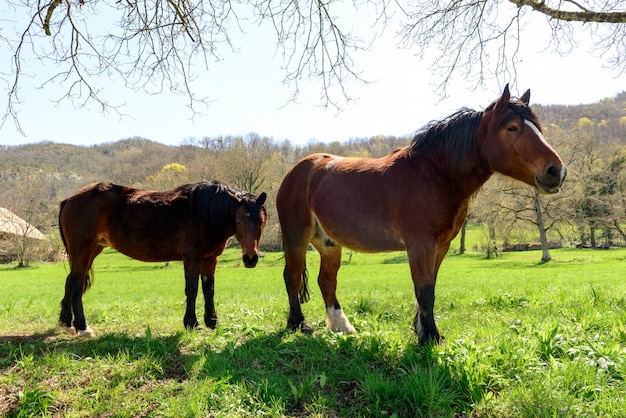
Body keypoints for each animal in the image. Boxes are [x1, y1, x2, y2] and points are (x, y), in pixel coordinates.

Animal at [57, 181, 264, 338]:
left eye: (260, 221)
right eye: (239, 221)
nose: (250, 259)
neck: (204, 213)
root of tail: (69, 199)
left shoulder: (210, 259)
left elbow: (209, 290)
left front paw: (212, 321)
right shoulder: (192, 258)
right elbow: (192, 290)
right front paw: (192, 323)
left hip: (92, 251)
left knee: (69, 281)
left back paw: (67, 322)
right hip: (82, 250)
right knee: (76, 284)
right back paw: (83, 327)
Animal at [276, 84, 564, 342]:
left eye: (537, 126)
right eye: (512, 128)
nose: (556, 171)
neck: (434, 175)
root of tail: (301, 170)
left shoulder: (441, 245)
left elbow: (429, 287)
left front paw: (422, 330)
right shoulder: (419, 244)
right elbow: (424, 290)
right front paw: (430, 337)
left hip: (329, 243)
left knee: (326, 281)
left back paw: (341, 327)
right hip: (296, 238)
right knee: (292, 277)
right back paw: (299, 324)